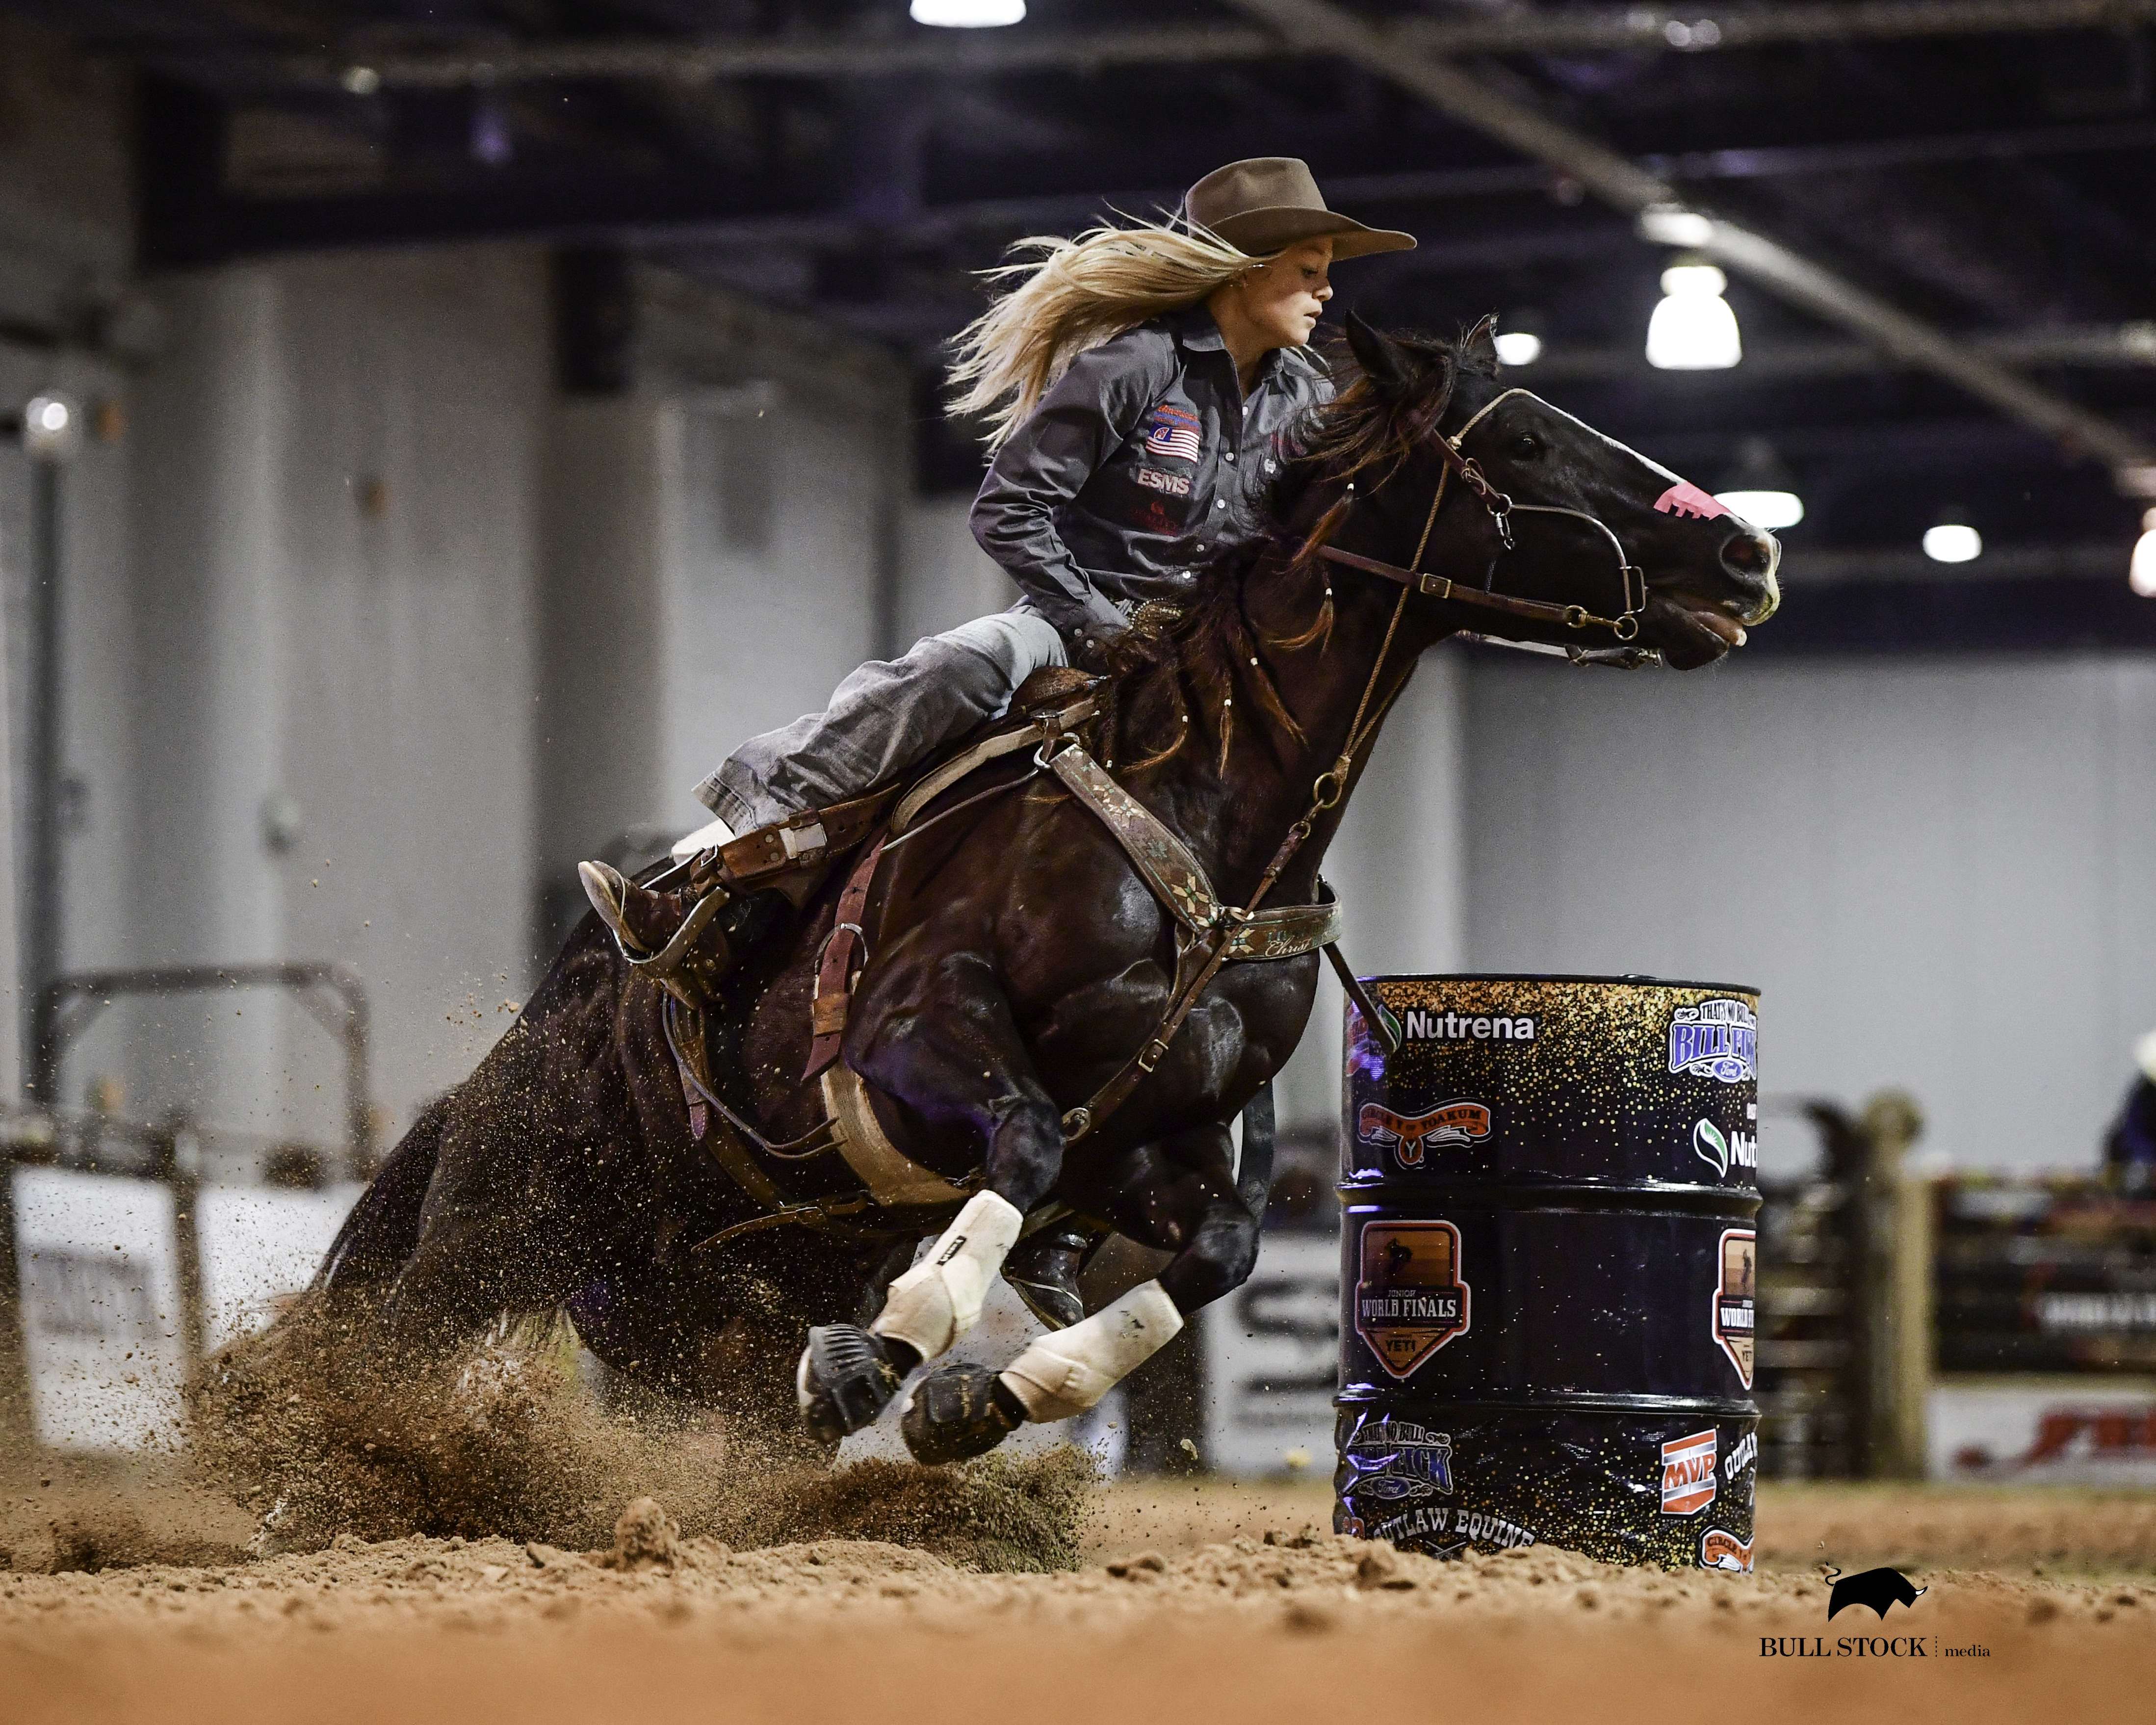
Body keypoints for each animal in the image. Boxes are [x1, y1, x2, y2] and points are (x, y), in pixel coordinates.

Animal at [312, 317, 1776, 1466]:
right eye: (1522, 443)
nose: (1744, 560)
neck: (1205, 821)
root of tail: (535, 1034)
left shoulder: (1151, 1144)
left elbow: (1219, 1251)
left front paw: (982, 1395)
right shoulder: (917, 1036)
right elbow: (1014, 1142)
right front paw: (888, 1352)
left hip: (693, 1308)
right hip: (493, 1232)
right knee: (376, 1356)